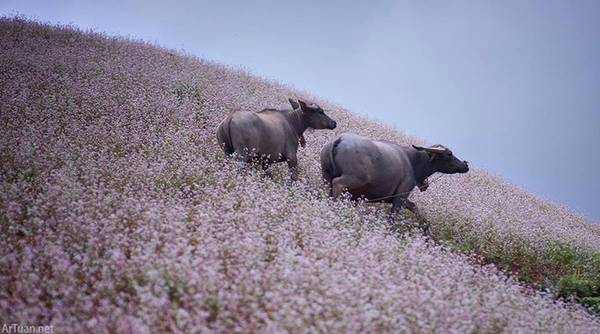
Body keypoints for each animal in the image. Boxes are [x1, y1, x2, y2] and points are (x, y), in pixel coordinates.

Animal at [324, 134, 468, 215]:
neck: (412, 161)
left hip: (325, 176)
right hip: (354, 179)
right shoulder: (401, 196)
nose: (465, 165)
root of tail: (339, 140)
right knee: (338, 183)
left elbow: (416, 210)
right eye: (449, 154)